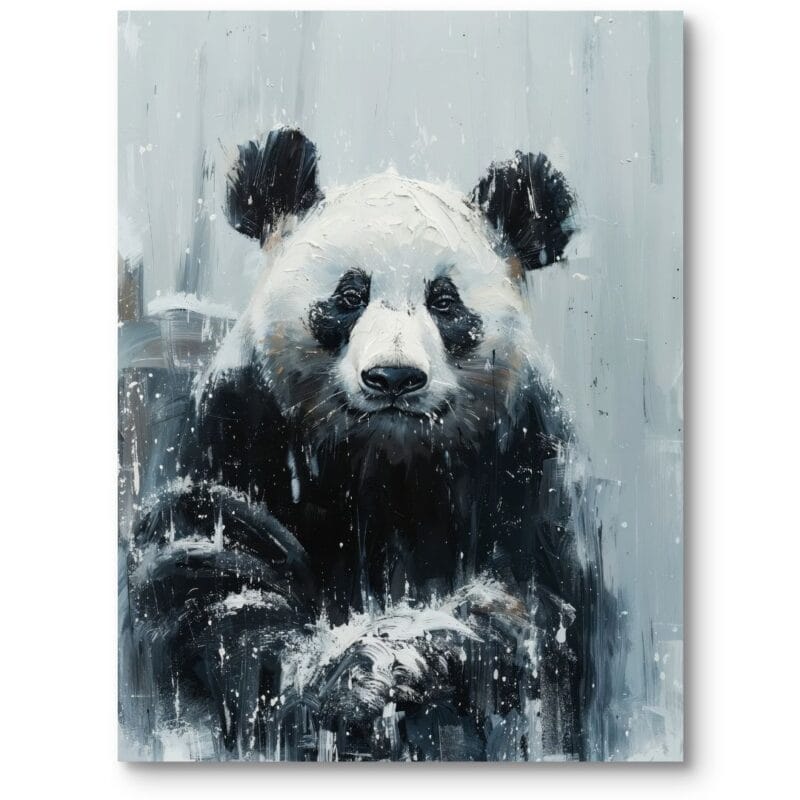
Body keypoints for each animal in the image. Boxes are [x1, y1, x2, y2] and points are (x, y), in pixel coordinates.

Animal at [126, 126, 607, 762]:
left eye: (444, 301)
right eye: (350, 296)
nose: (394, 378)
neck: (385, 455)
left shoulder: (520, 459)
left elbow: (529, 604)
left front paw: (406, 659)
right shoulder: (241, 427)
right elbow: (217, 568)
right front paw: (351, 676)